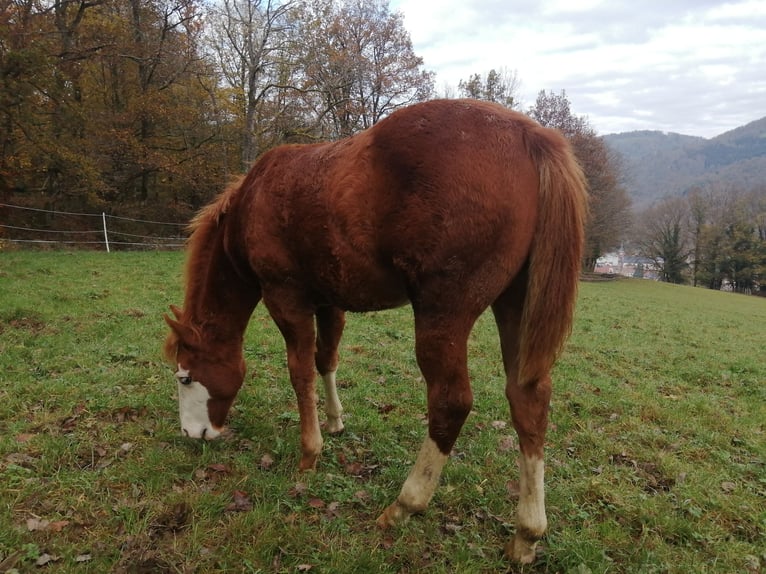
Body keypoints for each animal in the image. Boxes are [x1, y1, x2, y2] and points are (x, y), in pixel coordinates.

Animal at [164, 100, 588, 568]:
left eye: (185, 377)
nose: (192, 434)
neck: (253, 202)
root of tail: (529, 135)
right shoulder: (328, 301)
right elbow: (326, 360)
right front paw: (335, 421)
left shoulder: (286, 299)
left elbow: (300, 372)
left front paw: (309, 453)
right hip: (515, 308)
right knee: (528, 400)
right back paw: (526, 535)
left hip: (443, 315)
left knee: (450, 403)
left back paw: (405, 504)